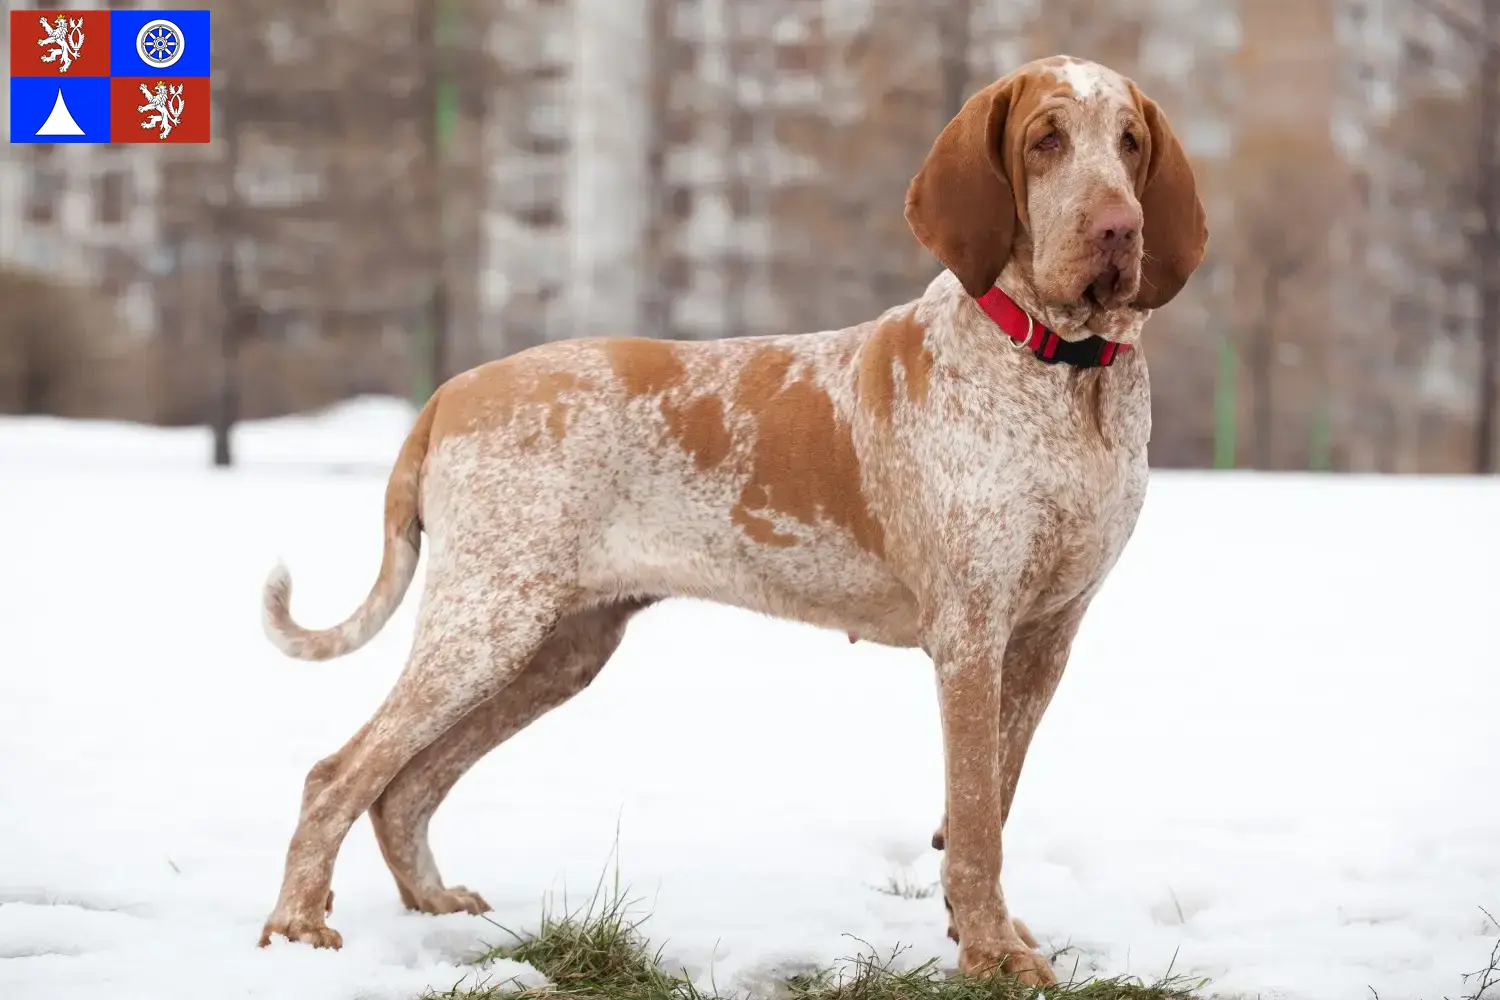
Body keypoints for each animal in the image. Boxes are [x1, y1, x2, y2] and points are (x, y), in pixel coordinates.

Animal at [252, 56, 1200, 983]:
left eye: (1128, 141)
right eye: (1045, 140)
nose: (1118, 229)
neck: (1063, 375)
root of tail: (450, 391)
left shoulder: (1043, 640)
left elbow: (989, 805)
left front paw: (981, 931)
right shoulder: (971, 634)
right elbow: (973, 821)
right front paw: (993, 956)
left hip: (556, 649)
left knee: (406, 787)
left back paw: (434, 906)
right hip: (488, 624)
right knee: (337, 774)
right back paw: (298, 928)